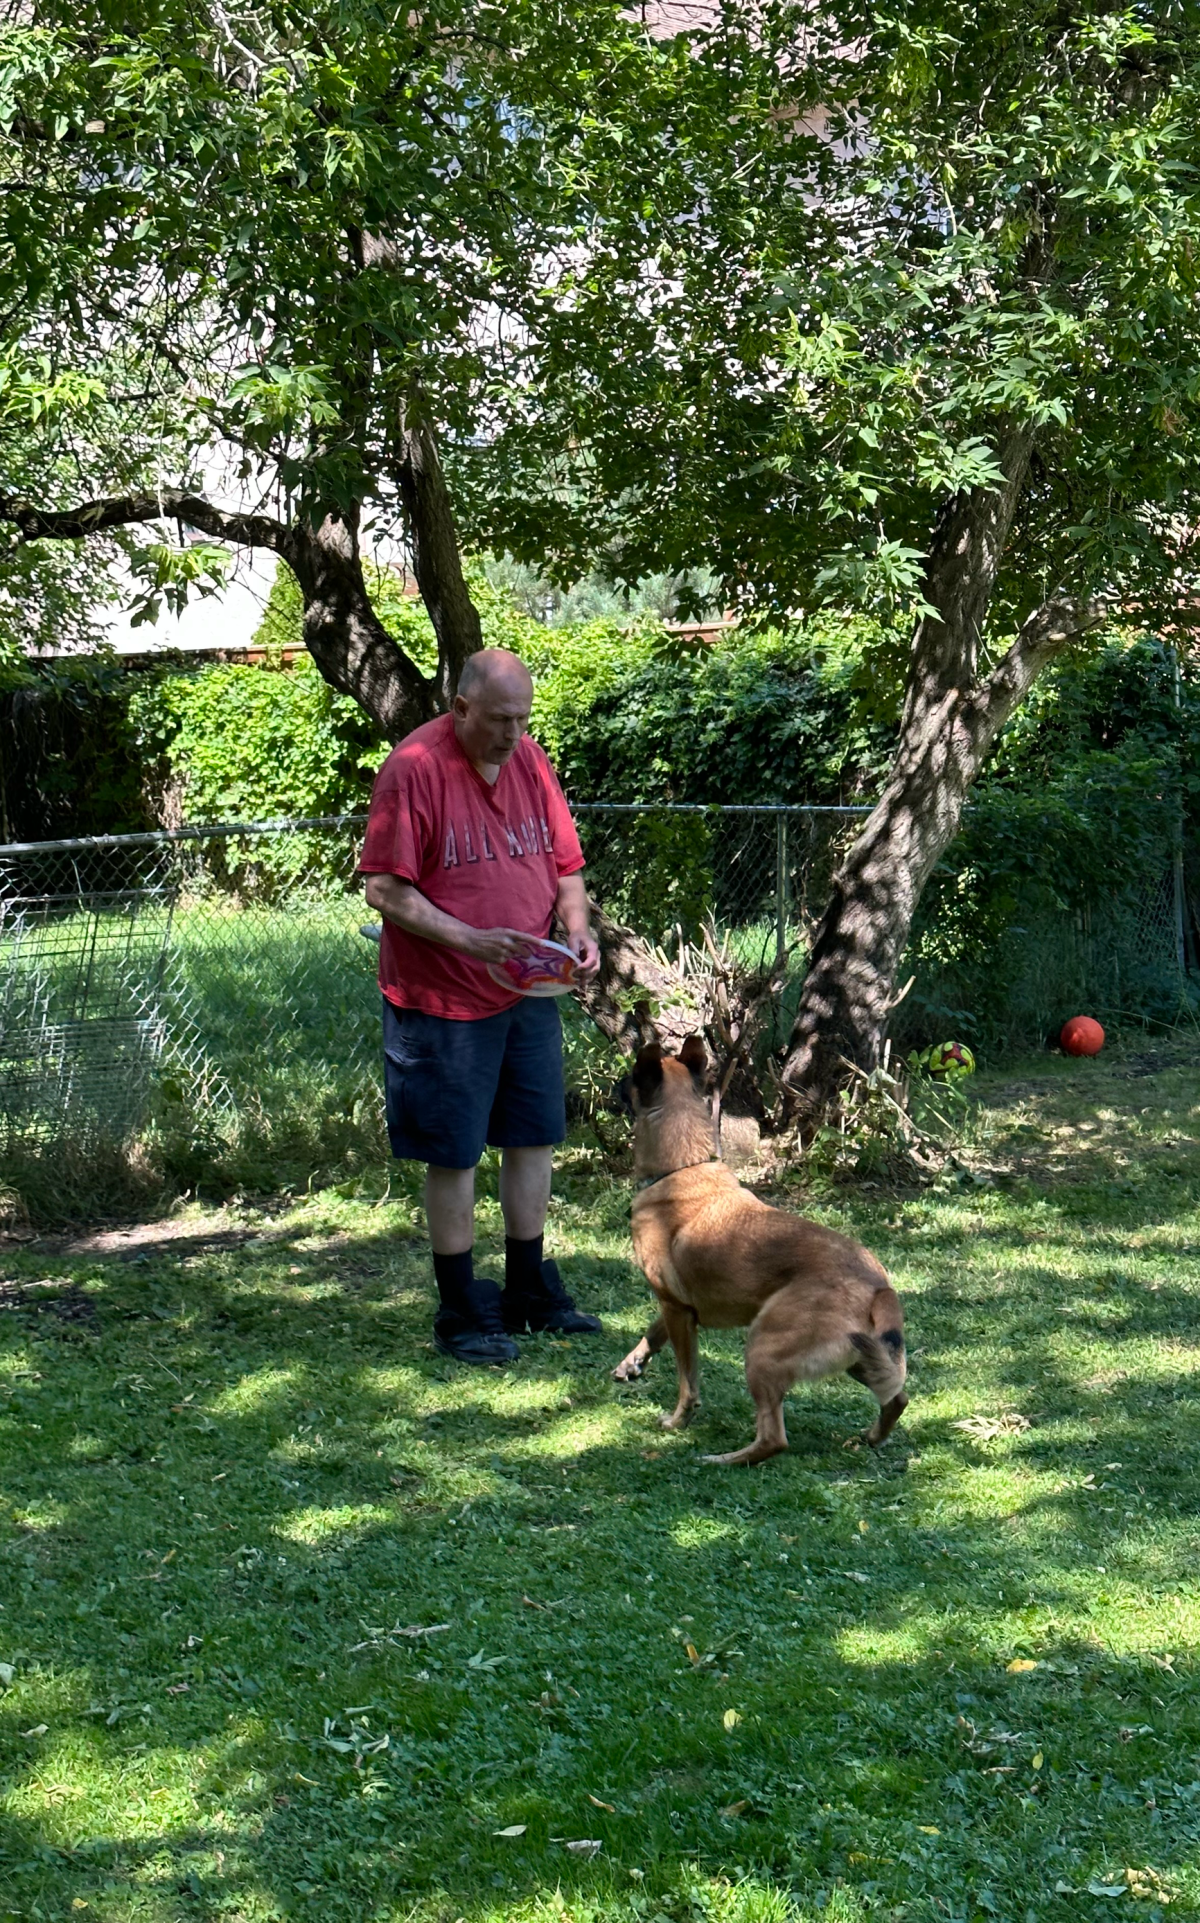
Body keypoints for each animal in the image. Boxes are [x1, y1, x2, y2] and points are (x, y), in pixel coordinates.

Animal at [615, 1046, 903, 1461]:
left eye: (630, 1079)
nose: (615, 1085)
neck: (682, 1166)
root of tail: (879, 1284)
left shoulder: (676, 1308)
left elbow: (688, 1379)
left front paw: (677, 1421)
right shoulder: (677, 1307)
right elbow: (653, 1333)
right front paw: (633, 1362)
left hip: (761, 1349)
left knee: (774, 1438)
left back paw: (722, 1460)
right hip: (865, 1357)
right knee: (896, 1397)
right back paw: (873, 1437)